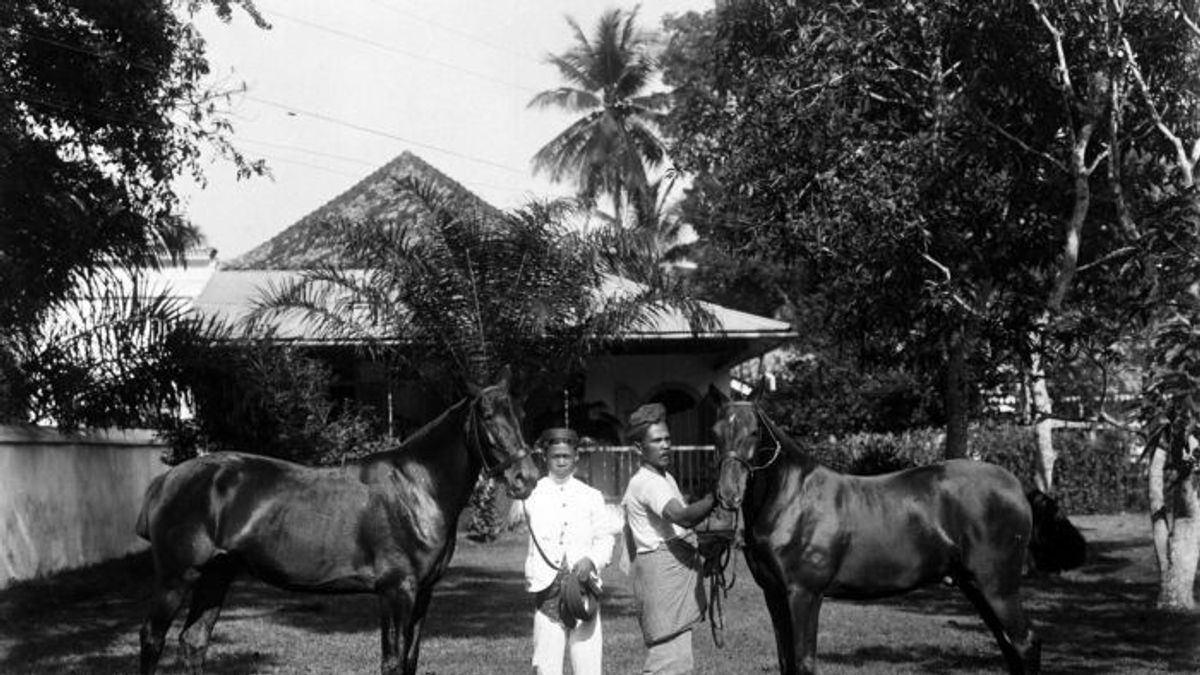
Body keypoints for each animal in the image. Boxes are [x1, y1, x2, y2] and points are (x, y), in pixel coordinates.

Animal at [135, 367, 540, 672]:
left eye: (520, 415)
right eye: (486, 416)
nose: (526, 477)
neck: (418, 487)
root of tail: (166, 481)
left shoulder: (423, 593)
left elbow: (410, 661)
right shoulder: (396, 590)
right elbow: (392, 662)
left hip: (215, 576)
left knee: (193, 642)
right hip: (176, 578)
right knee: (152, 639)